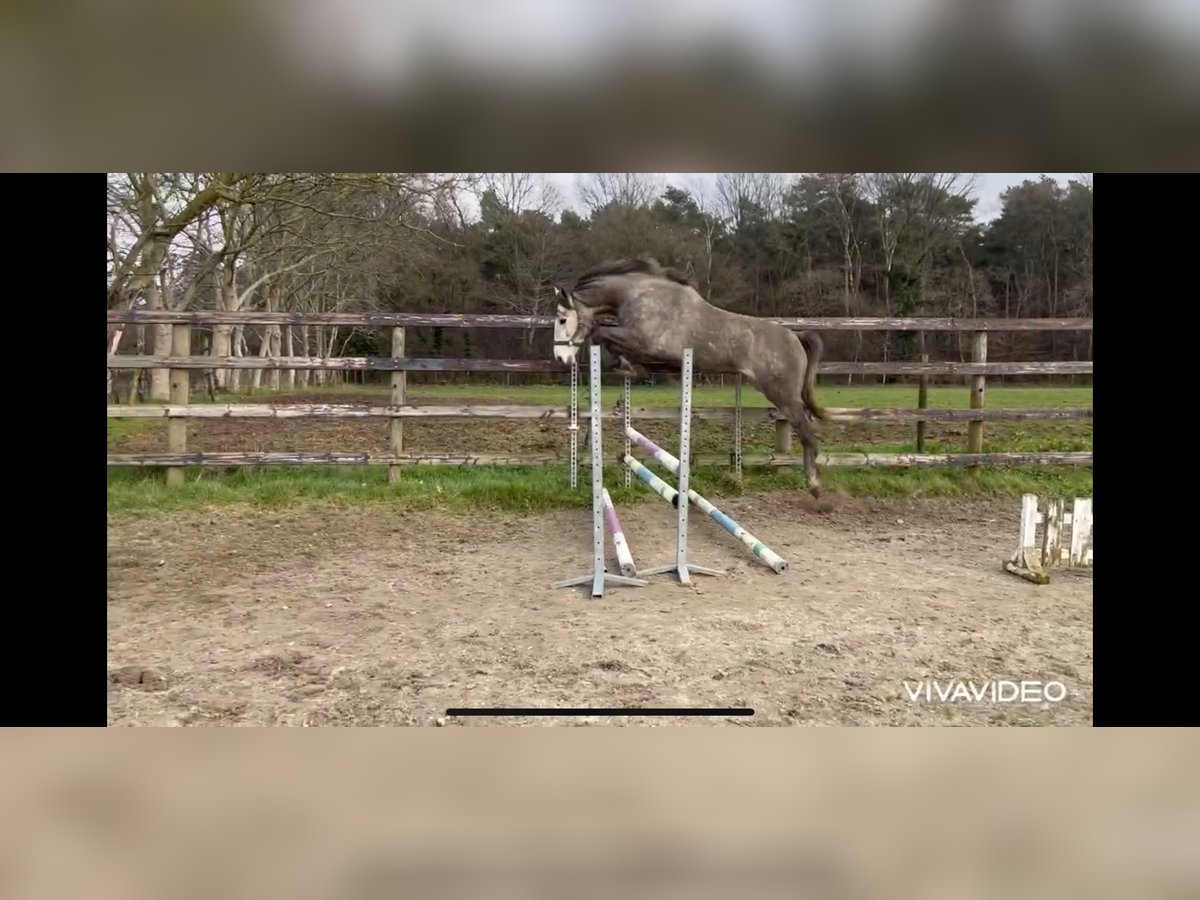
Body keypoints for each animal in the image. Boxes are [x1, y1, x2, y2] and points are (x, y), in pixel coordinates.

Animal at [549, 256, 825, 501]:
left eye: (562, 320)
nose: (561, 359)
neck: (638, 295)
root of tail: (796, 337)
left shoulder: (644, 341)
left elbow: (601, 333)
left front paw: (624, 366)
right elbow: (611, 342)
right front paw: (628, 368)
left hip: (782, 394)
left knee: (807, 430)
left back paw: (814, 485)